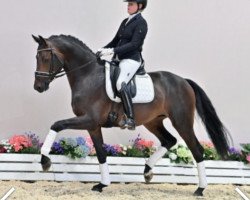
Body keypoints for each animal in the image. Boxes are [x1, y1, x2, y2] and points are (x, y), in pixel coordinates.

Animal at [32, 34, 229, 195]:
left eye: (45, 57)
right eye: (36, 57)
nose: (38, 87)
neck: (88, 76)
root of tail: (184, 81)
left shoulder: (89, 119)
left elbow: (57, 124)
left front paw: (45, 160)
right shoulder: (93, 125)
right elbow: (101, 154)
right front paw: (102, 185)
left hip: (181, 122)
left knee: (196, 149)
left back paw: (200, 189)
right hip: (153, 122)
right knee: (169, 140)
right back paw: (148, 171)